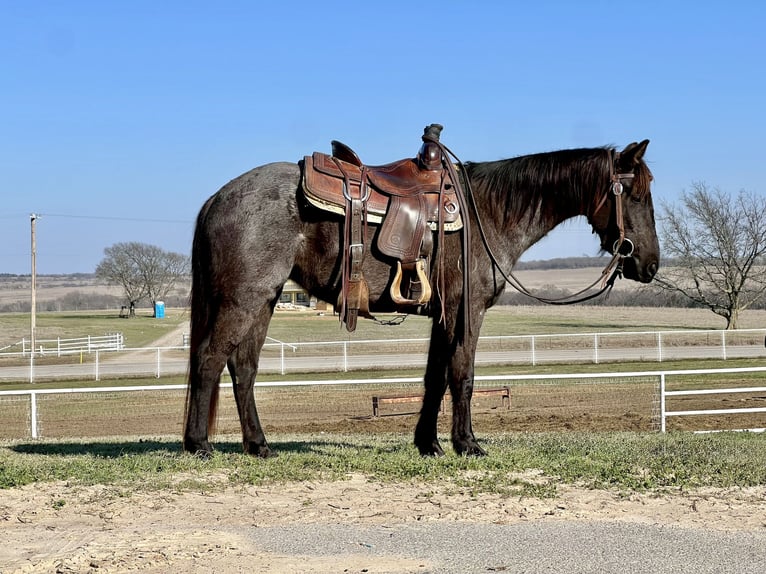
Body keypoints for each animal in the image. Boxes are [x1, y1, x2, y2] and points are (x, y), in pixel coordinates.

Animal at [182, 134, 660, 460]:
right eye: (637, 194)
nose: (650, 264)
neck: (487, 213)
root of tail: (218, 197)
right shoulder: (468, 312)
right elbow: (462, 376)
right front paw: (467, 444)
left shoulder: (442, 316)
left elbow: (435, 378)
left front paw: (428, 443)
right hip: (243, 300)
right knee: (209, 360)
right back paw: (198, 444)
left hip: (262, 302)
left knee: (243, 368)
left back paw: (258, 445)